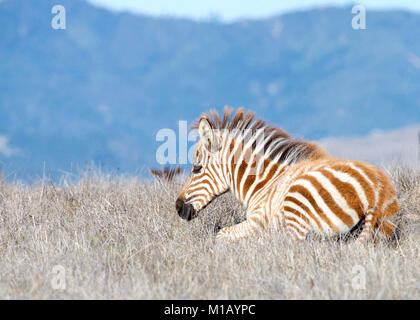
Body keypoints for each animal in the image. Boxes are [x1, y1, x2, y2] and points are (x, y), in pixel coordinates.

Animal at [176, 109, 398, 241]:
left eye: (196, 168)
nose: (177, 207)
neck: (263, 184)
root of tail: (375, 193)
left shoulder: (258, 221)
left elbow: (221, 235)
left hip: (297, 199)